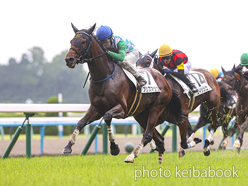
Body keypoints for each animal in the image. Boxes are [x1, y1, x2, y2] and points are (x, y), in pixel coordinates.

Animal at [61, 23, 185, 163]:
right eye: (71, 41)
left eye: (83, 41)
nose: (69, 59)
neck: (104, 77)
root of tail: (164, 80)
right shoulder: (96, 108)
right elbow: (80, 123)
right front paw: (68, 147)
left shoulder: (122, 108)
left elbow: (107, 117)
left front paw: (114, 148)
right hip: (141, 114)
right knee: (158, 138)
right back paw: (159, 160)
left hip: (156, 108)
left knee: (148, 134)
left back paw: (131, 156)